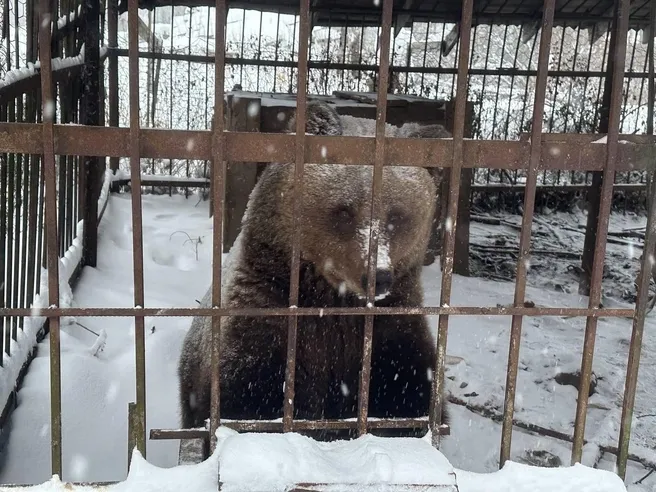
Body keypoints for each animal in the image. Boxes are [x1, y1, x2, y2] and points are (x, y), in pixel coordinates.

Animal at [177, 100, 448, 442]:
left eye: (397, 216)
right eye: (344, 211)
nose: (377, 277)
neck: (333, 301)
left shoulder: (393, 331)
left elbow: (408, 398)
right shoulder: (264, 320)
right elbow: (247, 401)